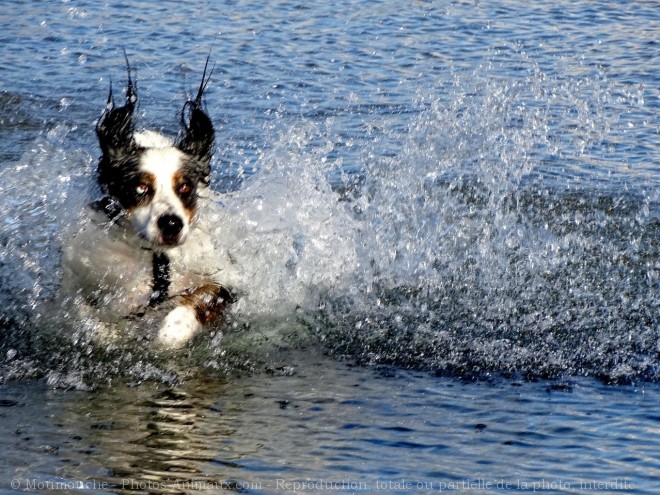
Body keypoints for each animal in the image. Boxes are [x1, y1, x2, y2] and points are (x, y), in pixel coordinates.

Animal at [60, 58, 235, 350]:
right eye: (141, 187)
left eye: (185, 187)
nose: (172, 223)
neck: (157, 257)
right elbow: (83, 310)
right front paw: (103, 332)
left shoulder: (225, 279)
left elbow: (202, 297)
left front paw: (172, 332)